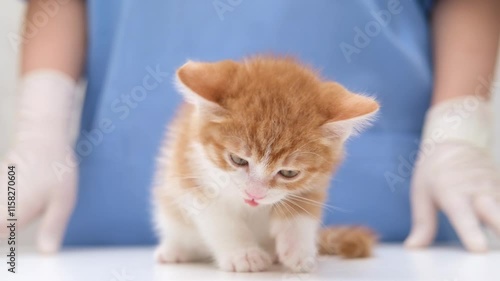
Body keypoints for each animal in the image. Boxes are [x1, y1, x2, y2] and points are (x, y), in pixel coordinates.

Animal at [152, 57, 378, 272]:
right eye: (238, 160)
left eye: (289, 172)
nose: (255, 194)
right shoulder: (190, 168)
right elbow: (220, 220)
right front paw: (244, 254)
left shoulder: (316, 182)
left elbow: (302, 211)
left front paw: (299, 250)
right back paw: (174, 251)